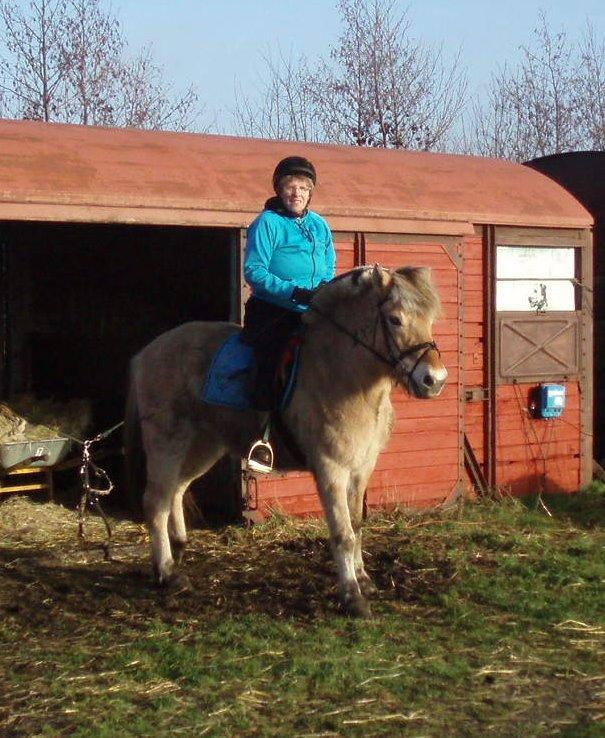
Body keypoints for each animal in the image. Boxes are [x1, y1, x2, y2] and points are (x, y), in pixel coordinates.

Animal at [126, 264, 448, 616]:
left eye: (430, 319)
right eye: (395, 319)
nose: (434, 380)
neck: (343, 377)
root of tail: (146, 353)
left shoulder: (361, 469)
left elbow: (357, 524)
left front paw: (363, 580)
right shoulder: (331, 469)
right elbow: (343, 533)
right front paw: (352, 596)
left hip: (203, 446)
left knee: (177, 490)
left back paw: (179, 550)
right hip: (168, 442)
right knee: (156, 500)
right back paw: (167, 572)